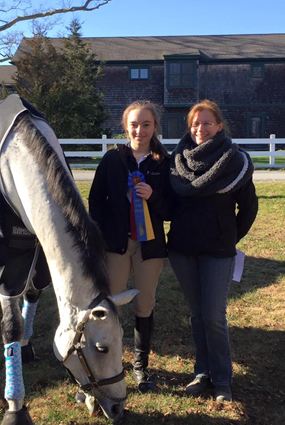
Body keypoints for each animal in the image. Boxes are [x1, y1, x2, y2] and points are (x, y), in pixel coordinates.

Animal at [0, 94, 138, 422]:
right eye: (101, 348)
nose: (118, 407)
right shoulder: (10, 258)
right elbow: (10, 324)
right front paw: (15, 406)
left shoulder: (35, 249)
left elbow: (33, 293)